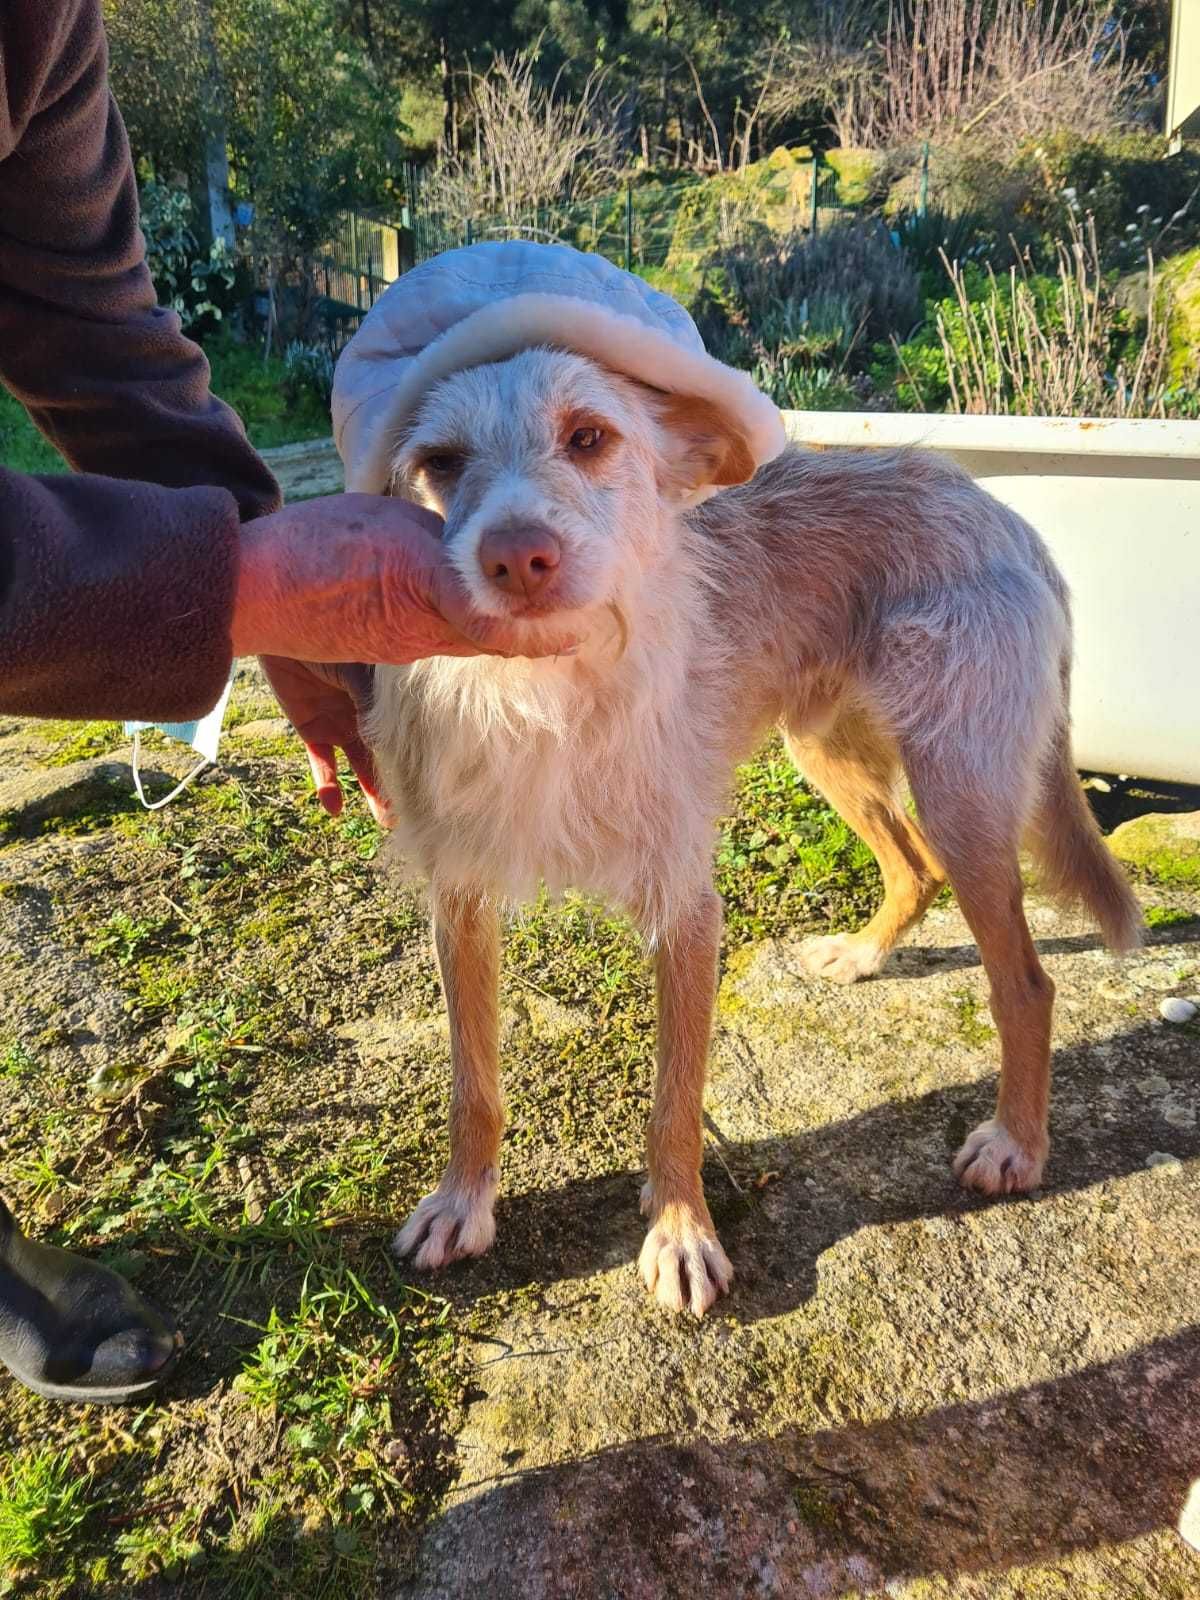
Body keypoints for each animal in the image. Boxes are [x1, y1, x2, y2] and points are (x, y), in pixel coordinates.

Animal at [334, 243, 1139, 1312]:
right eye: (440, 464)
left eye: (588, 437)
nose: (516, 556)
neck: (546, 692)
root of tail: (1001, 513)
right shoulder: (460, 894)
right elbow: (474, 1080)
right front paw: (464, 1201)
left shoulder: (687, 907)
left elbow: (674, 1099)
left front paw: (680, 1231)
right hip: (828, 753)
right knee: (911, 867)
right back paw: (862, 955)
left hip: (960, 791)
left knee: (1028, 984)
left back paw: (1017, 1143)